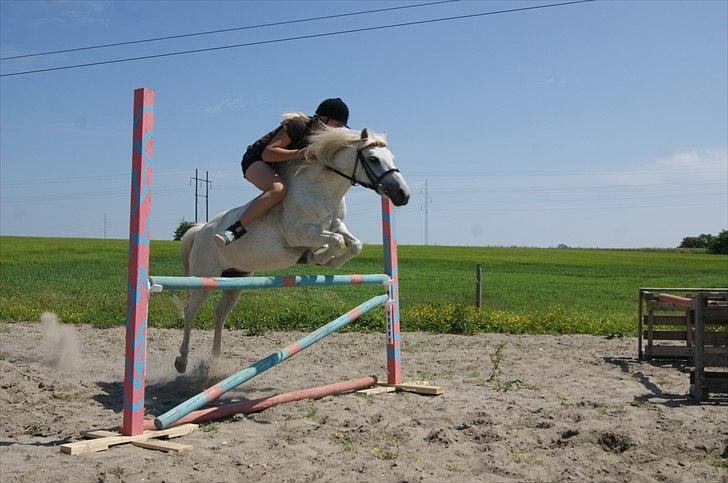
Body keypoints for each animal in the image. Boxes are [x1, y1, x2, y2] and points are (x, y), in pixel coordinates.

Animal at [174, 127, 410, 373]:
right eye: (373, 159)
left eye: (392, 158)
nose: (403, 194)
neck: (321, 190)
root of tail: (201, 229)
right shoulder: (298, 233)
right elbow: (335, 241)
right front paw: (317, 257)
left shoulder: (336, 225)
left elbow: (353, 243)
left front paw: (326, 260)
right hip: (205, 277)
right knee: (190, 311)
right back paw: (182, 361)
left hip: (236, 278)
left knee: (220, 313)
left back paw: (214, 361)